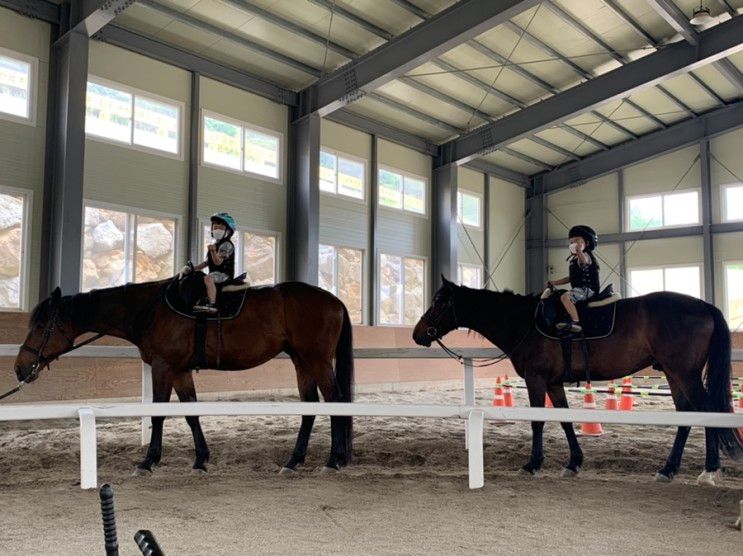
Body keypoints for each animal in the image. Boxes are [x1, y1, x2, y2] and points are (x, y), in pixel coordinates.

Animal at [13, 282, 356, 474]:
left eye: (41, 325)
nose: (20, 368)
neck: (150, 310)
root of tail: (335, 301)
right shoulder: (179, 371)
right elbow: (191, 413)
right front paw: (201, 460)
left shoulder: (164, 367)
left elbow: (159, 415)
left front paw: (148, 462)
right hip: (302, 361)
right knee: (310, 408)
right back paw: (294, 461)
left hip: (317, 360)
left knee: (336, 401)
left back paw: (333, 459)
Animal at [412, 276, 743, 482]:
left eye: (440, 302)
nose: (417, 334)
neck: (524, 322)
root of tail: (704, 306)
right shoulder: (553, 383)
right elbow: (565, 420)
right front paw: (573, 463)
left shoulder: (536, 379)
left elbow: (538, 421)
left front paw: (533, 464)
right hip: (675, 375)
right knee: (686, 417)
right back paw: (669, 468)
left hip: (684, 374)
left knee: (706, 413)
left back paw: (710, 469)